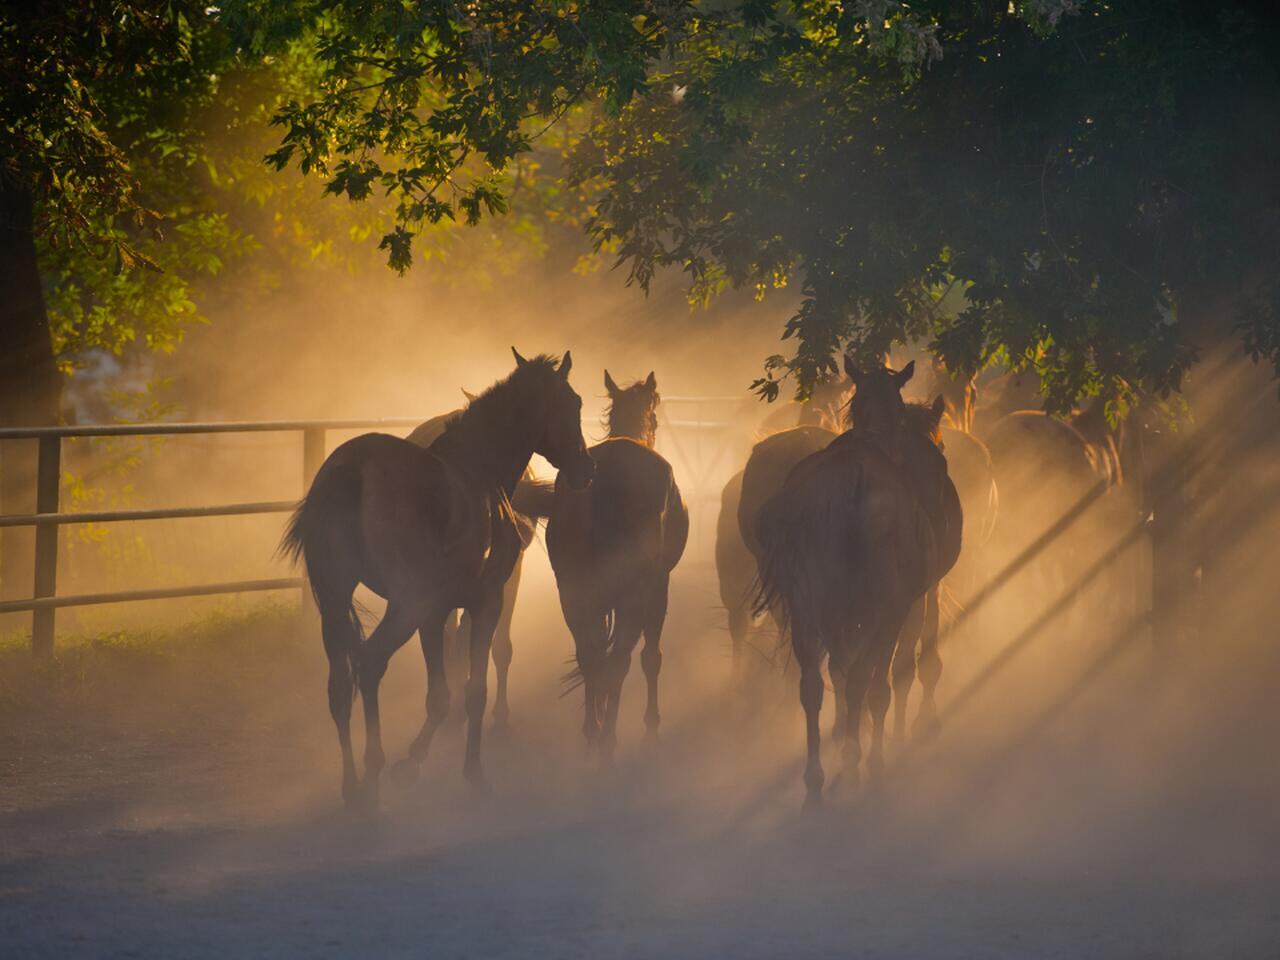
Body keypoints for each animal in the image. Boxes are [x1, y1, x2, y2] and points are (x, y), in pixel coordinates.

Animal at [282, 350, 591, 808]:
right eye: (572, 403)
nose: (586, 469)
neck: (478, 473)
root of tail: (354, 469)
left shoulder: (435, 612)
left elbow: (441, 695)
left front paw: (416, 762)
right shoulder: (483, 603)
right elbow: (474, 689)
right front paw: (468, 773)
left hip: (338, 602)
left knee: (339, 688)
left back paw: (352, 787)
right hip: (404, 607)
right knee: (370, 662)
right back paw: (373, 778)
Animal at [524, 371, 691, 762]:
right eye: (655, 414)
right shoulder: (658, 587)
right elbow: (650, 657)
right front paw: (650, 729)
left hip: (572, 591)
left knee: (591, 656)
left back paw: (593, 733)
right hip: (633, 593)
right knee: (618, 661)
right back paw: (608, 741)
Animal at [747, 358, 962, 808]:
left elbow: (842, 677)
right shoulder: (899, 607)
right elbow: (884, 679)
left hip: (808, 611)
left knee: (813, 685)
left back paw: (816, 781)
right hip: (880, 611)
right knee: (871, 681)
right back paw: (863, 767)